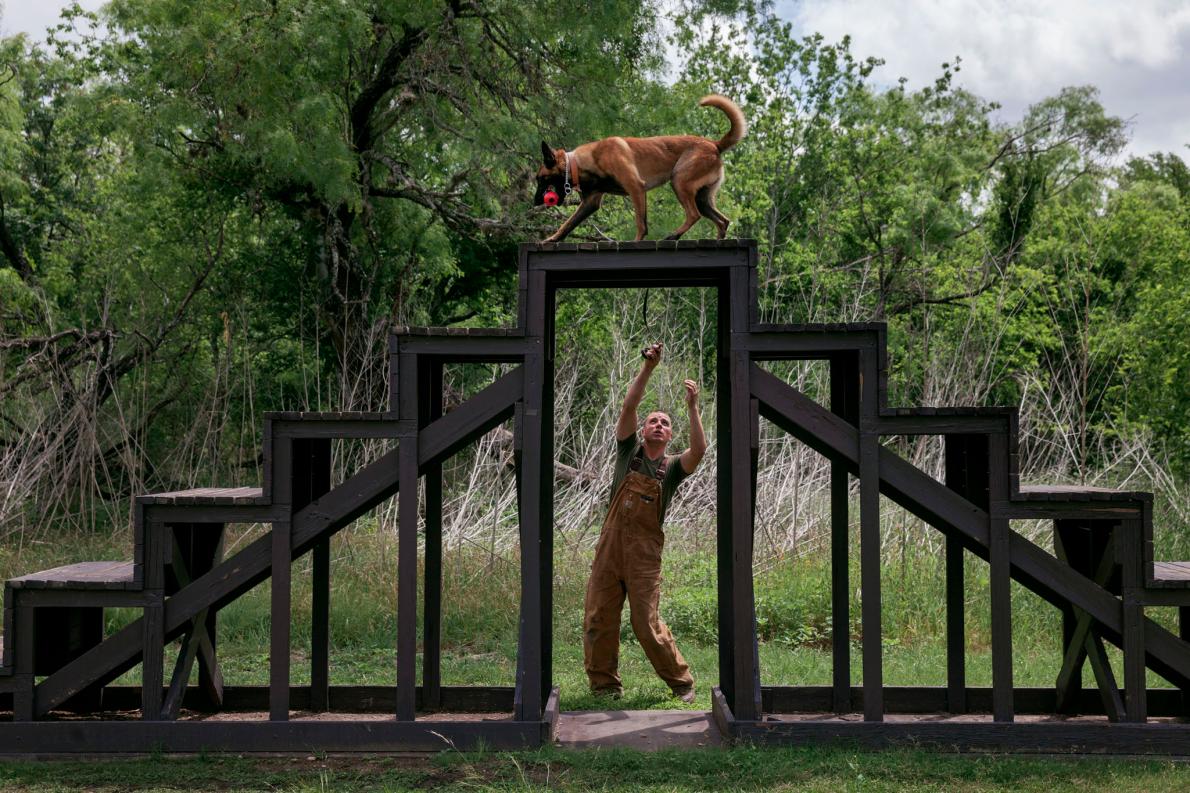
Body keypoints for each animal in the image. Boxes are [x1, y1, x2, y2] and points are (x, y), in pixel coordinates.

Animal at [533, 94, 742, 240]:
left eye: (541, 179)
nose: (535, 203)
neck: (580, 162)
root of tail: (715, 145)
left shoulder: (635, 187)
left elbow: (641, 224)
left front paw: (636, 241)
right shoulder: (590, 202)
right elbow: (567, 224)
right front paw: (551, 239)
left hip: (679, 181)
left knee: (694, 215)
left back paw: (673, 235)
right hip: (702, 197)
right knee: (722, 221)